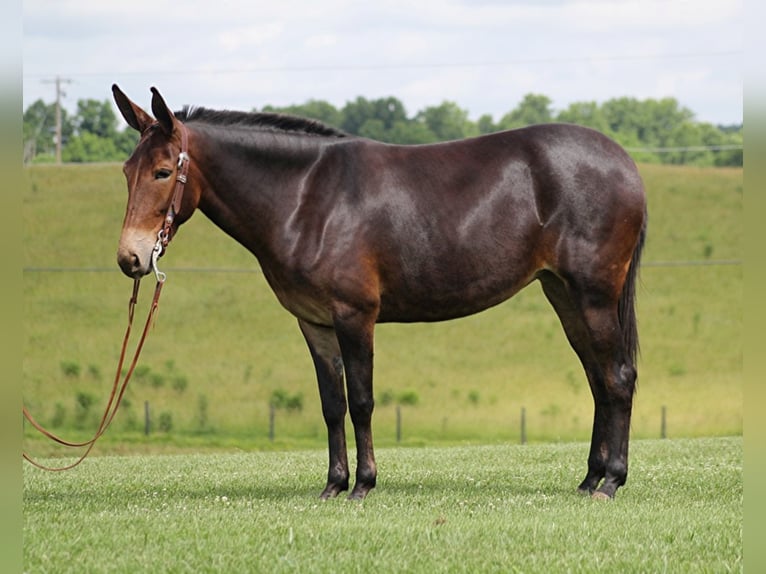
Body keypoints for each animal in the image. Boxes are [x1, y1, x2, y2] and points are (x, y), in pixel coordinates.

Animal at [112, 83, 648, 502]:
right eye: (126, 171)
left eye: (163, 172)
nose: (130, 258)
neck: (308, 198)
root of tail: (624, 163)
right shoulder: (315, 323)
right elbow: (332, 405)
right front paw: (333, 484)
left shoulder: (355, 315)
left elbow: (363, 401)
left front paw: (364, 484)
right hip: (564, 294)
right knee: (598, 379)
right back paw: (589, 478)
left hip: (594, 294)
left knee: (618, 377)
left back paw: (611, 481)